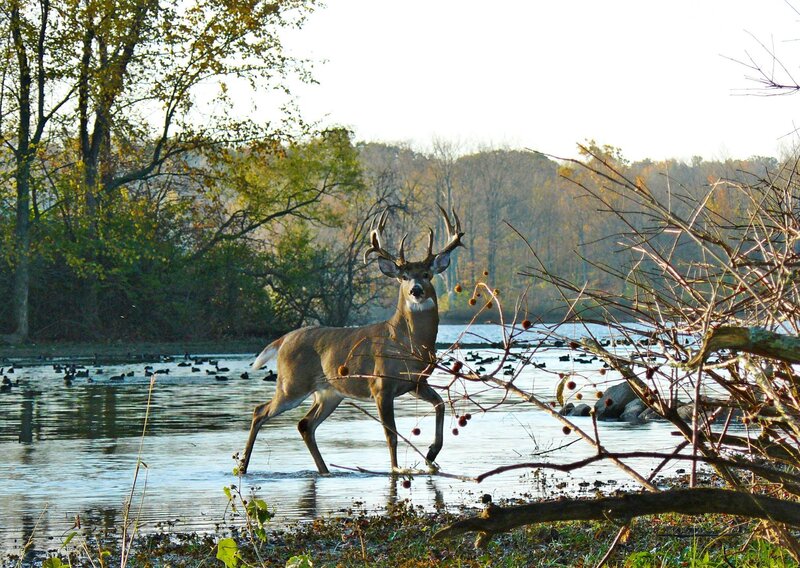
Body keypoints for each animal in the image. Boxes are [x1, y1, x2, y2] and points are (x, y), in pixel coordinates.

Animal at [240, 206, 465, 475]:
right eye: (403, 277)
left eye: (427, 274)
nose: (416, 290)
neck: (407, 343)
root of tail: (283, 339)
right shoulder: (380, 385)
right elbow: (391, 435)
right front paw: (396, 469)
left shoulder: (416, 383)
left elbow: (440, 404)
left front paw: (431, 454)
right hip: (291, 383)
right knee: (260, 411)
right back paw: (242, 466)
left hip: (329, 392)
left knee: (305, 424)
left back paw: (324, 470)